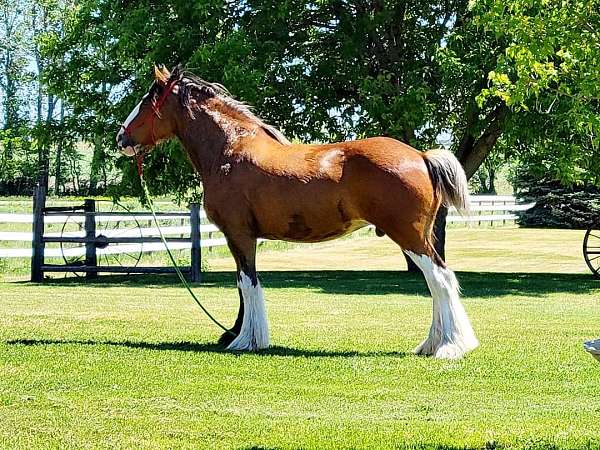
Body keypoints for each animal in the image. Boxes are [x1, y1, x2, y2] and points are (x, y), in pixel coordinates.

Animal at [117, 64, 480, 358]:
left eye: (147, 102)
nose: (121, 137)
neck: (230, 150)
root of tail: (420, 155)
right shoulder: (243, 237)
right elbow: (243, 284)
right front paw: (236, 334)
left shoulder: (238, 234)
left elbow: (247, 283)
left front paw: (245, 340)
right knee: (437, 281)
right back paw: (432, 344)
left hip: (409, 235)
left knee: (440, 279)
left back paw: (449, 347)